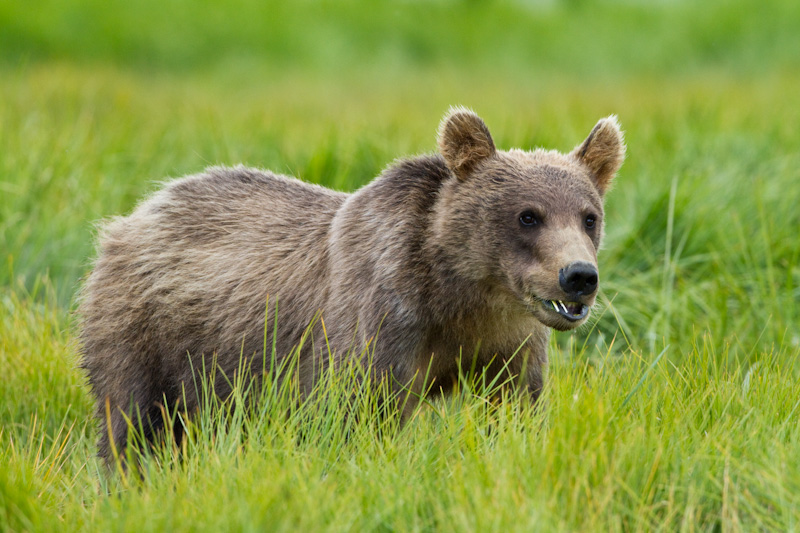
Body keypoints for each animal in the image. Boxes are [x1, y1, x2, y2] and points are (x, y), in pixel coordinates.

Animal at [78, 107, 624, 462]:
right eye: (527, 216)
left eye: (588, 217)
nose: (579, 276)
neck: (463, 297)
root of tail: (137, 213)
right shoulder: (381, 321)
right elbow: (357, 413)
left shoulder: (509, 342)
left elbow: (513, 409)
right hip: (145, 329)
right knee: (131, 420)